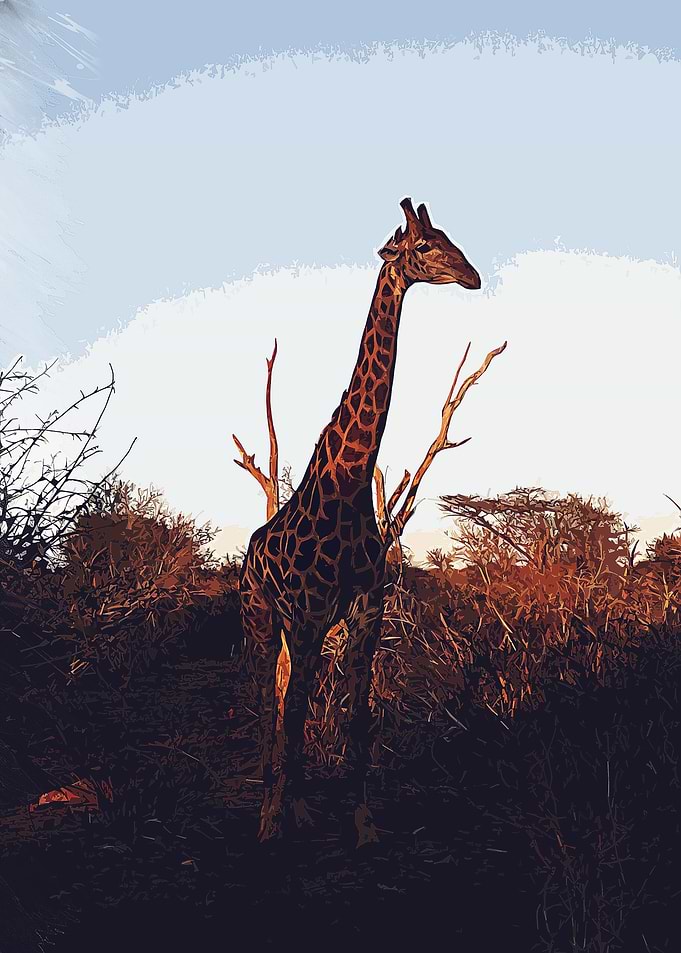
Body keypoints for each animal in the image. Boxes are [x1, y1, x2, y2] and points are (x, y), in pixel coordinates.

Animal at [240, 197, 481, 846]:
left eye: (448, 237)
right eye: (422, 246)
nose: (472, 275)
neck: (349, 483)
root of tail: (248, 551)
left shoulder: (365, 608)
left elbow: (358, 716)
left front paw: (363, 822)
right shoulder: (308, 613)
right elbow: (295, 713)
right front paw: (284, 817)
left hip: (295, 627)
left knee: (283, 697)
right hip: (261, 616)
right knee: (267, 702)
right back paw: (267, 805)